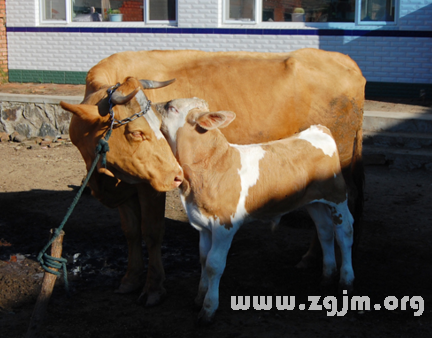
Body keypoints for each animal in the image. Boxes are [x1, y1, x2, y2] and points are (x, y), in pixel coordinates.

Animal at [60, 48, 364, 306]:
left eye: (156, 127)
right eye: (135, 132)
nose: (175, 174)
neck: (104, 177)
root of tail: (346, 61)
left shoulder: (150, 185)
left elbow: (152, 232)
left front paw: (154, 288)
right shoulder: (125, 185)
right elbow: (131, 232)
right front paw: (130, 279)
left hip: (338, 169)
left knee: (339, 222)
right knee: (322, 221)